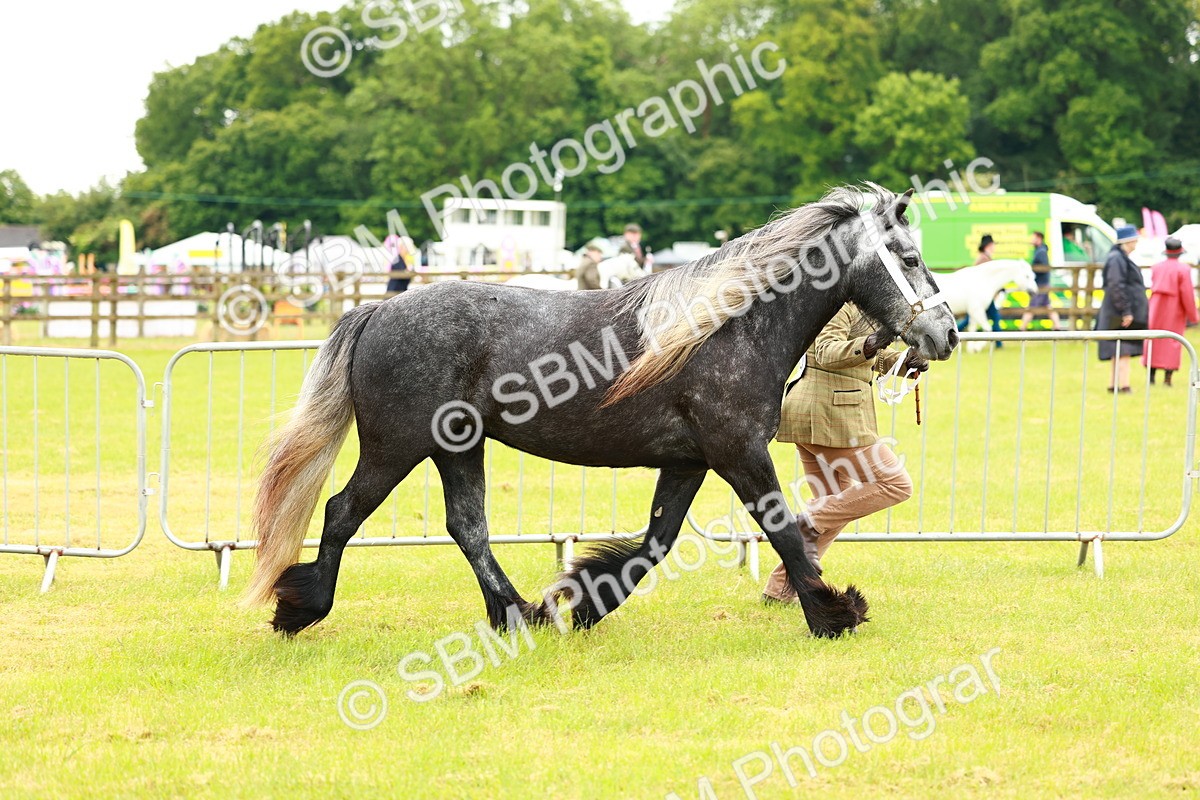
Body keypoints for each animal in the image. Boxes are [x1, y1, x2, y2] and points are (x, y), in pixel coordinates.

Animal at [242, 184, 959, 639]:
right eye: (911, 257)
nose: (945, 335)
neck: (730, 327)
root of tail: (377, 309)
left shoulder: (689, 463)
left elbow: (653, 545)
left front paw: (583, 603)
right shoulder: (740, 456)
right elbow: (784, 531)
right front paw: (832, 614)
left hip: (457, 447)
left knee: (467, 527)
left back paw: (520, 615)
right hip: (398, 446)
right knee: (343, 512)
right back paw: (301, 610)